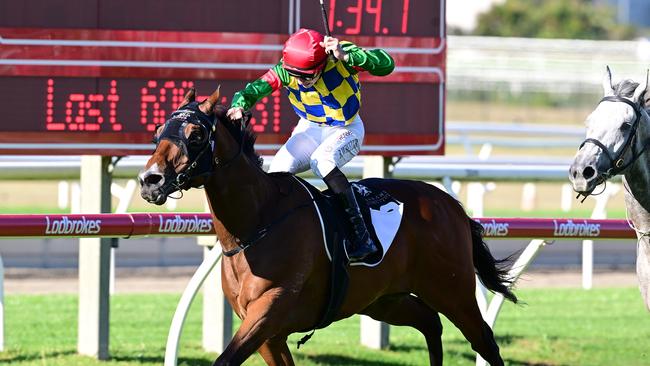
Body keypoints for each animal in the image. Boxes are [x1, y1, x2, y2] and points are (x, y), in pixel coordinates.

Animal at [138, 87, 516, 364]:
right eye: (157, 132)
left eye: (197, 133)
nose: (149, 181)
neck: (258, 224)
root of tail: (452, 205)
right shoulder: (269, 334)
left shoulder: (269, 311)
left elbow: (225, 360)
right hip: (383, 299)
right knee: (430, 323)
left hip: (452, 290)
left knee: (484, 341)